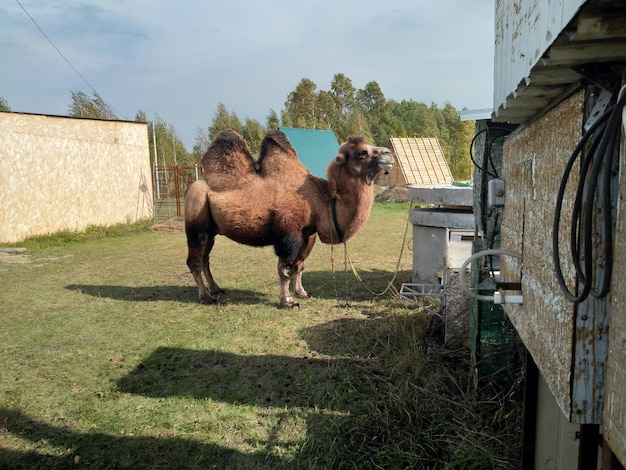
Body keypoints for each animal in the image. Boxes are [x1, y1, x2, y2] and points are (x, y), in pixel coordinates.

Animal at [183, 129, 392, 308]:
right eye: (362, 153)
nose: (388, 153)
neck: (320, 200)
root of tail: (191, 187)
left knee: (205, 258)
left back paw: (216, 289)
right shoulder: (288, 232)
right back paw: (206, 297)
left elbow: (299, 265)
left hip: (211, 231)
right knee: (194, 261)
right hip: (196, 221)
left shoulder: (308, 234)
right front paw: (288, 302)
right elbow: (285, 269)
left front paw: (302, 293)